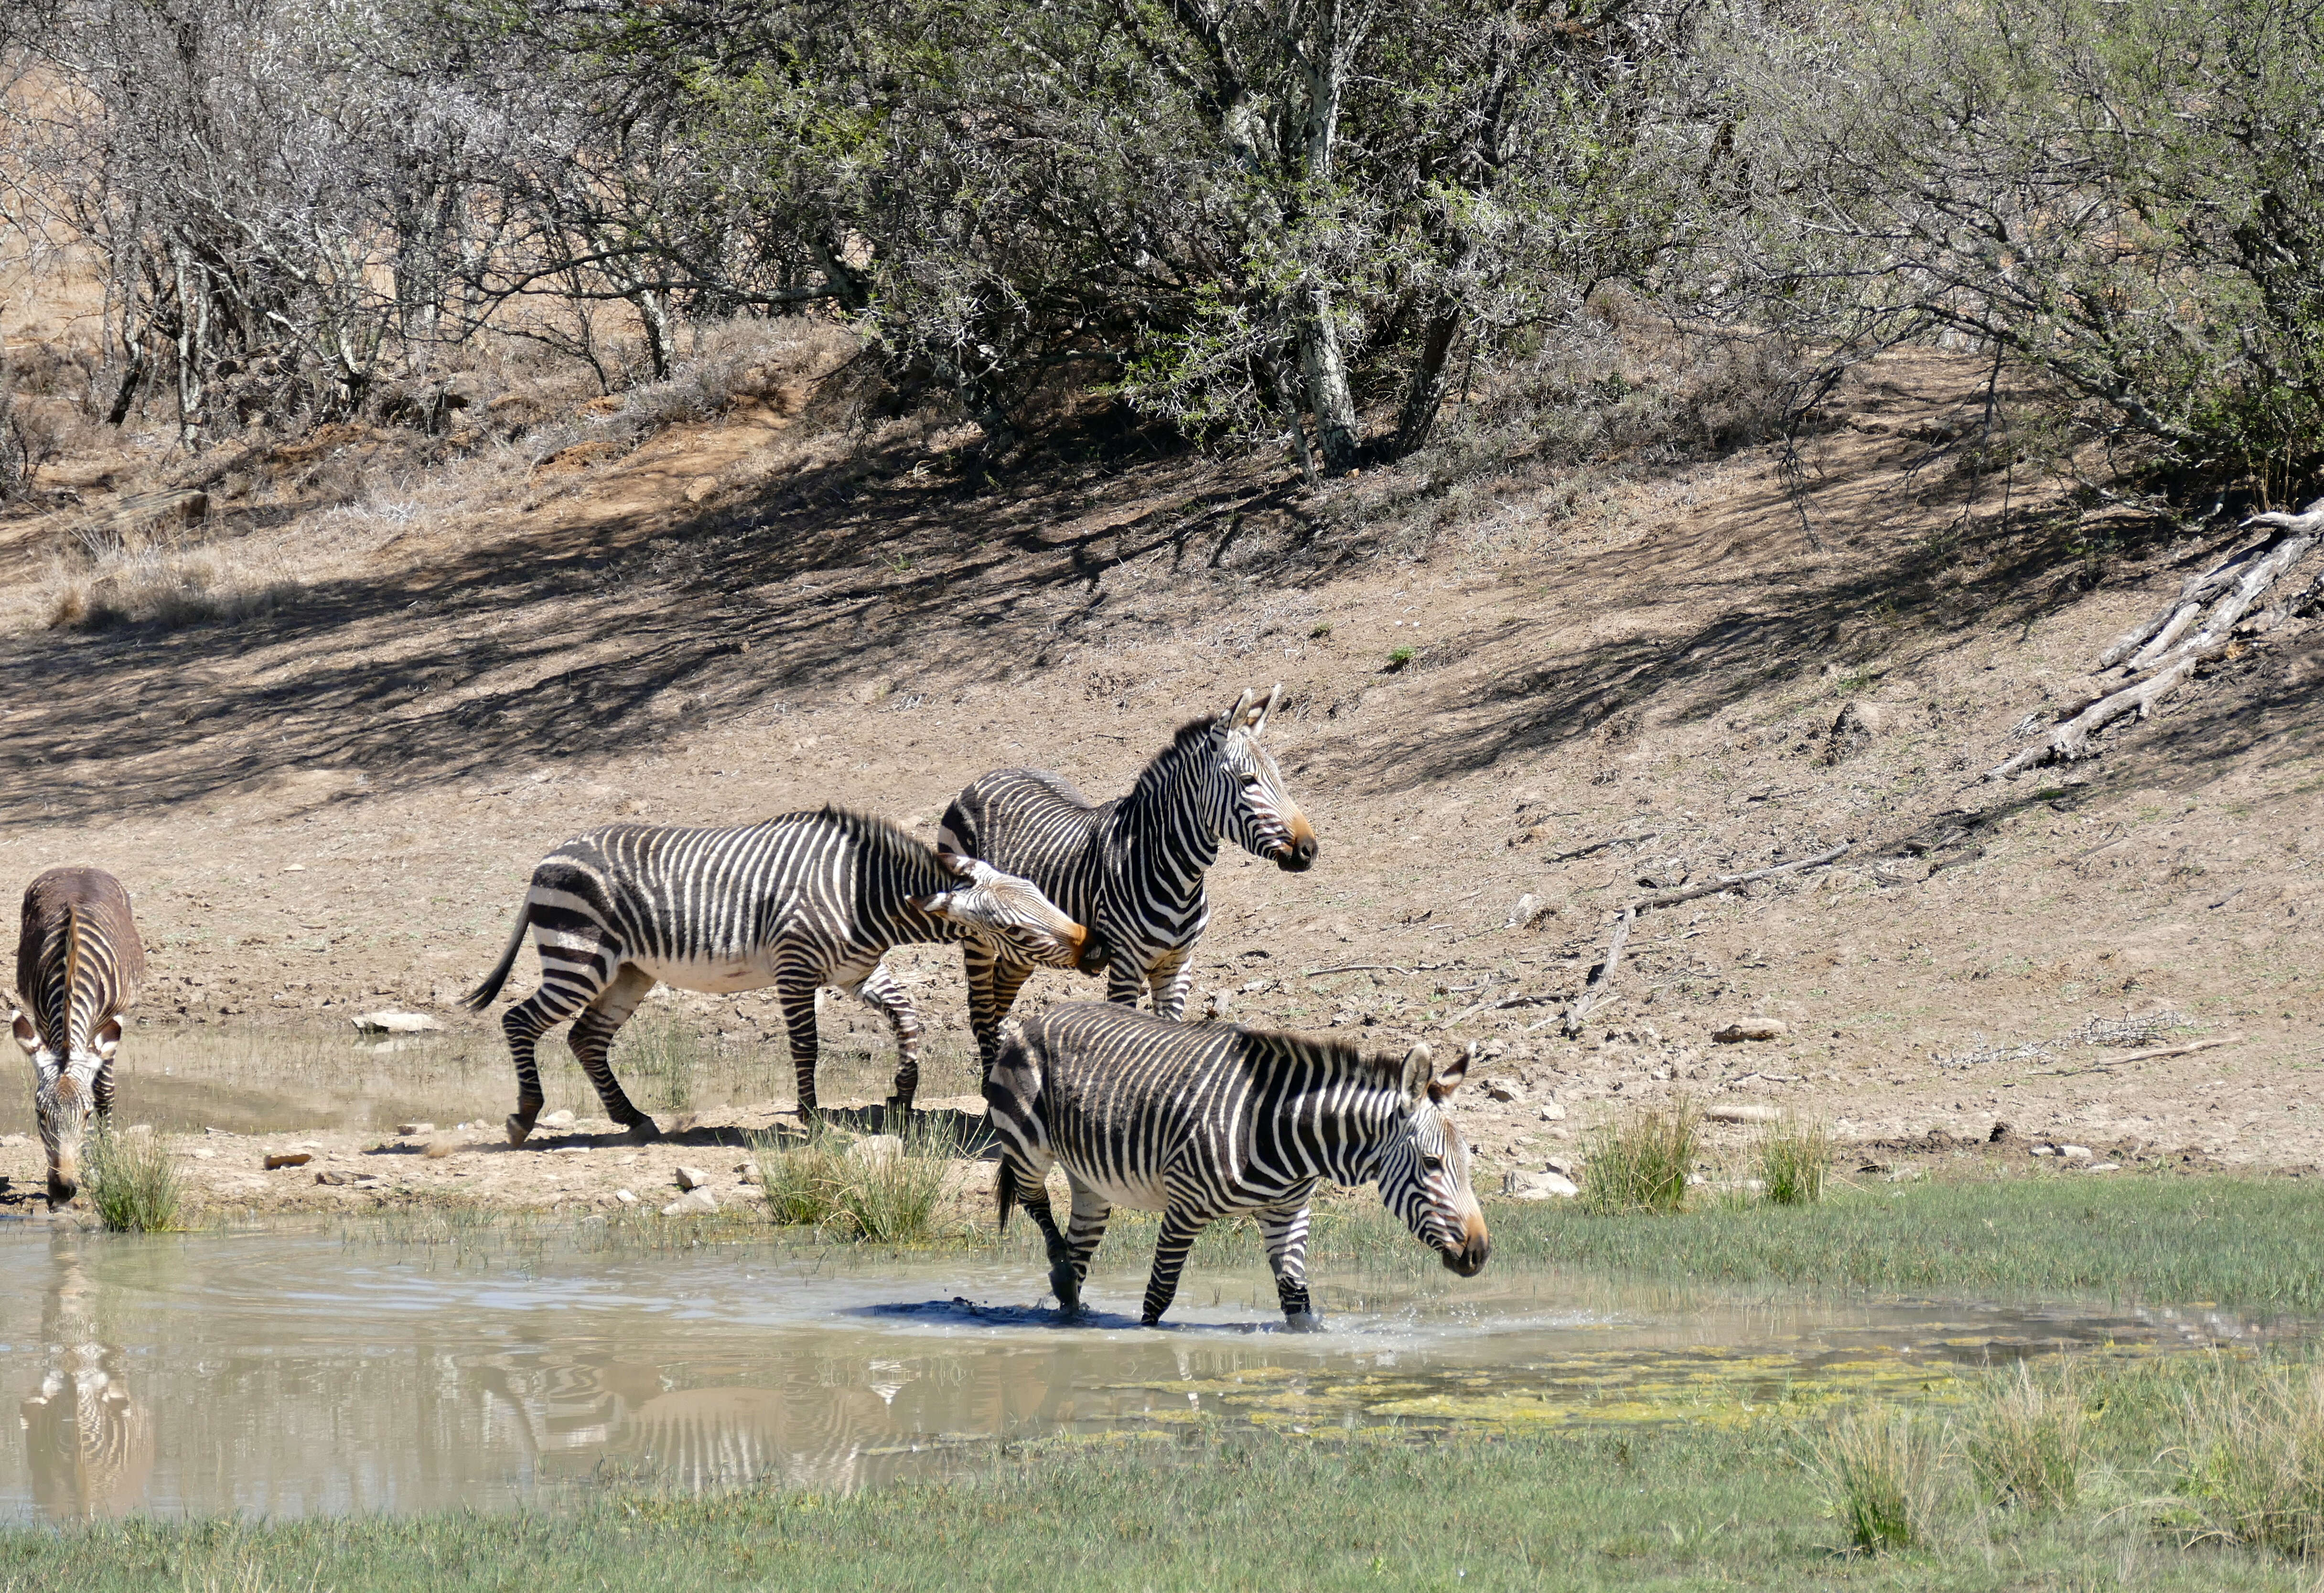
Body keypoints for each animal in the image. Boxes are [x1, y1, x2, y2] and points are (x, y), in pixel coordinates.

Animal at [9, 873, 145, 1207]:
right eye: (40, 1115)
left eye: (86, 1115)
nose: (62, 1190)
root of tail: (77, 869)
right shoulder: (43, 1022)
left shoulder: (109, 1025)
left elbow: (105, 1093)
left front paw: (101, 1167)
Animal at [464, 813, 1106, 1147]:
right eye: (1012, 928)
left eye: (1044, 895)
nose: (1096, 946)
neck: (863, 894)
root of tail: (549, 857)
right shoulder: (796, 968)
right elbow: (807, 1044)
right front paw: (811, 1118)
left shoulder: (856, 971)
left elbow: (907, 1015)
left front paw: (902, 1091)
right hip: (580, 958)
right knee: (519, 1020)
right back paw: (524, 1116)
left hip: (629, 971)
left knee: (586, 1037)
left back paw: (635, 1119)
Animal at [934, 687, 1320, 1073]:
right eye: (1247, 781)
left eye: (1279, 777)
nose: (1309, 849)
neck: (1176, 873)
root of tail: (988, 776)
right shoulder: (1124, 966)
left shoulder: (1177, 966)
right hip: (976, 934)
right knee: (982, 1013)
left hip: (1023, 941)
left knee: (1000, 1002)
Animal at [985, 1012, 1487, 1337]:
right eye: (1431, 1163)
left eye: (1468, 1162)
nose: (1480, 1252)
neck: (1284, 1131)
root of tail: (1038, 1016)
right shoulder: (1184, 1208)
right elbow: (1159, 1295)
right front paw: (1148, 1344)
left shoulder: (1288, 1212)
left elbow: (1297, 1302)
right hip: (1027, 1145)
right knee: (1036, 1202)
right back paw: (1059, 1270)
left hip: (1091, 1182)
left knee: (1080, 1249)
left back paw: (1072, 1308)